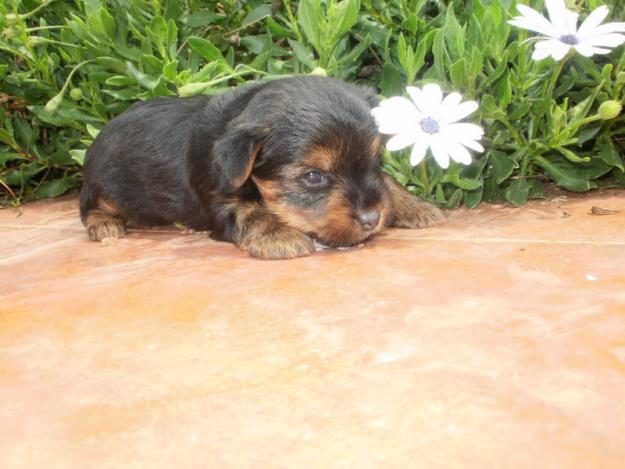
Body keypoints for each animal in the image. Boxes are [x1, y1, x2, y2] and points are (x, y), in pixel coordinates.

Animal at [80, 77, 444, 260]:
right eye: (313, 177)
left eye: (375, 161)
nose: (372, 219)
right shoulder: (220, 195)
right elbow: (250, 210)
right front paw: (279, 234)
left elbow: (388, 183)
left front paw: (414, 205)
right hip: (105, 183)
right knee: (89, 206)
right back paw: (105, 225)